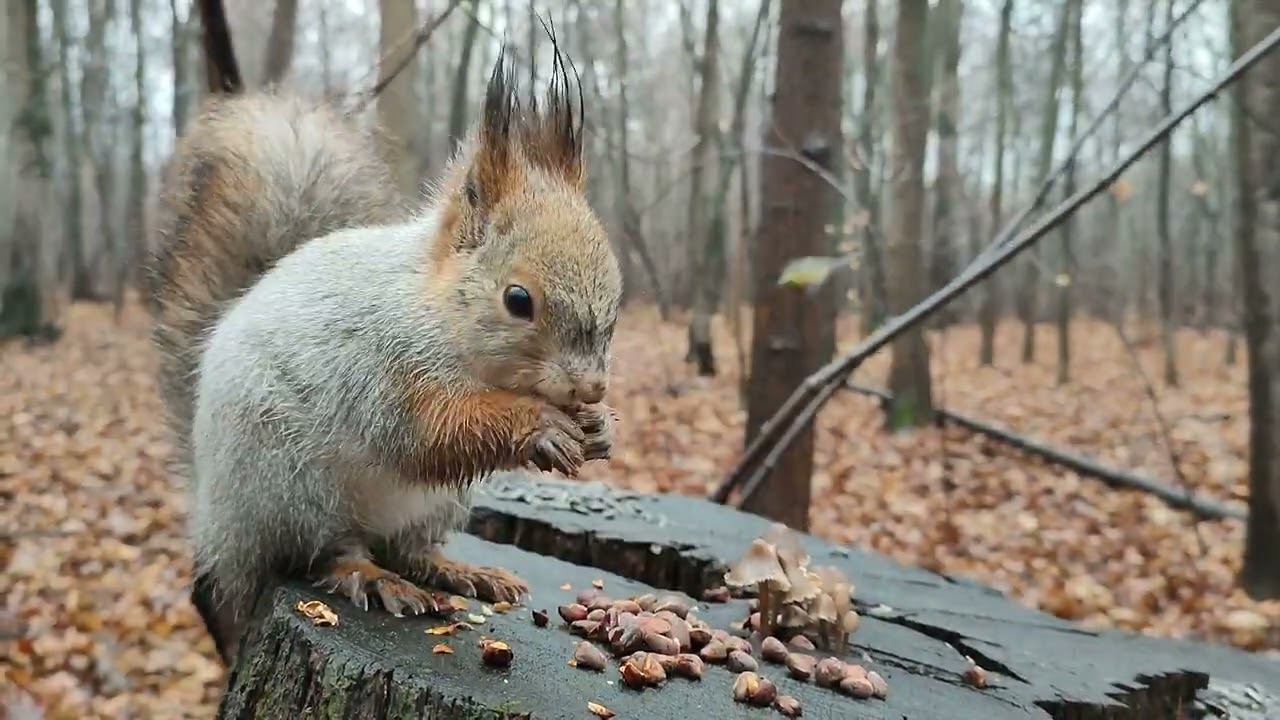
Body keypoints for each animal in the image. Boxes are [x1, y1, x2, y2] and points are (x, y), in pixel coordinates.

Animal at [147, 43, 621, 664]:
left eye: (616, 292)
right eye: (518, 300)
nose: (591, 388)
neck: (437, 309)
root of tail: (214, 520)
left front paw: (599, 426)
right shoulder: (380, 367)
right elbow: (431, 431)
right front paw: (541, 424)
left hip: (439, 504)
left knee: (409, 549)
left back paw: (459, 570)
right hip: (290, 484)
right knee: (326, 553)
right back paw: (372, 578)